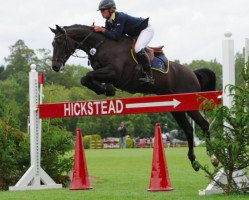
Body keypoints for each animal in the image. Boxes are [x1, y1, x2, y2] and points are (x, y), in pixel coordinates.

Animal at [49, 24, 215, 171]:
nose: (55, 67)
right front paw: (106, 89)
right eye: (52, 43)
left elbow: (87, 76)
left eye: (60, 42)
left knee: (204, 125)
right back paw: (193, 160)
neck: (101, 45)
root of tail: (193, 73)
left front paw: (104, 89)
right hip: (176, 108)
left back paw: (213, 156)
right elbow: (86, 79)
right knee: (188, 129)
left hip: (189, 104)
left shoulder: (114, 72)